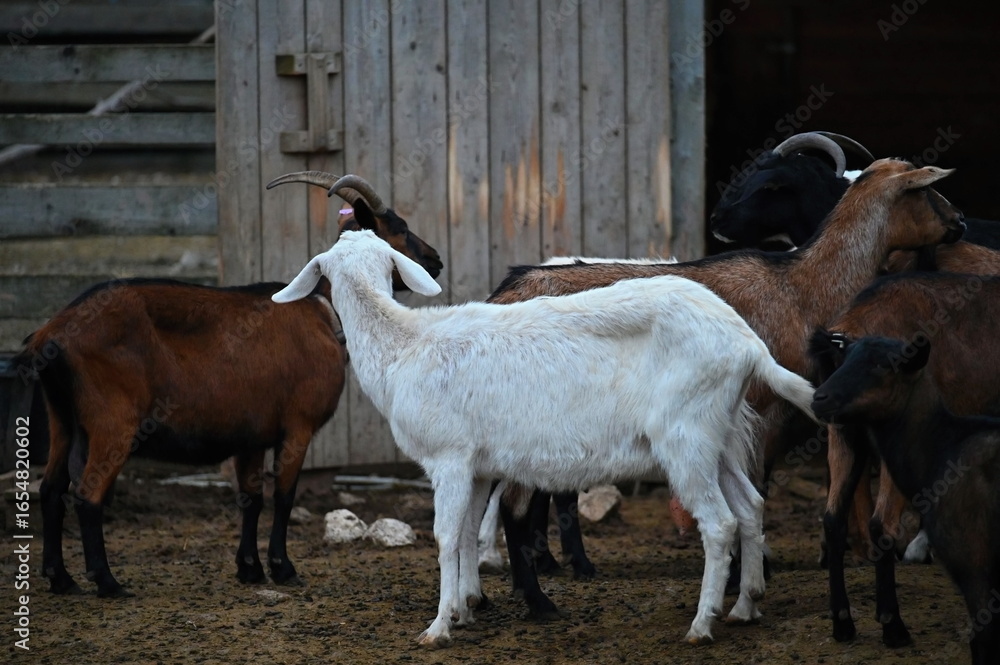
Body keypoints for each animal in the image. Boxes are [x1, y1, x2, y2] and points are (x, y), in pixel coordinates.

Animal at [14, 174, 441, 598]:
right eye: (400, 228)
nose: (436, 261)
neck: (324, 310)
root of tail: (50, 334)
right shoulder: (297, 427)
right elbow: (283, 495)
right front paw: (283, 568)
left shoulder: (251, 435)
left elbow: (250, 498)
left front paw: (249, 568)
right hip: (112, 422)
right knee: (87, 494)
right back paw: (107, 582)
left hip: (61, 419)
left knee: (51, 490)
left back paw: (61, 578)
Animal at [273, 229, 821, 647]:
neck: (404, 346)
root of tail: (748, 345)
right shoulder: (478, 465)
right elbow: (469, 532)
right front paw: (466, 609)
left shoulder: (449, 457)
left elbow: (446, 536)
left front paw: (438, 627)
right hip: (719, 435)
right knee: (750, 506)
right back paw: (747, 605)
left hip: (685, 437)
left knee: (719, 523)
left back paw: (702, 624)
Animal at [490, 159, 966, 619]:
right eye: (927, 190)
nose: (960, 221)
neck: (800, 287)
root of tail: (504, 291)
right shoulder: (760, 409)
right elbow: (754, 487)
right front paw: (745, 577)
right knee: (516, 502)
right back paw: (538, 598)